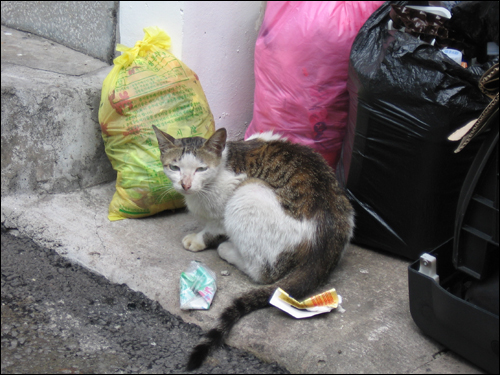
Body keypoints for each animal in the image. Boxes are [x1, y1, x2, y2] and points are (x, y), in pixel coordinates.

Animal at [152, 125, 356, 370]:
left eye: (201, 169)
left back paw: (228, 250)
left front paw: (200, 239)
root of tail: (325, 243)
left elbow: (214, 227)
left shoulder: (231, 190)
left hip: (246, 194)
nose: (185, 185)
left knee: (262, 272)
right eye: (175, 167)